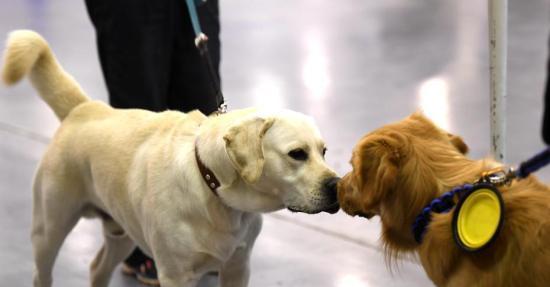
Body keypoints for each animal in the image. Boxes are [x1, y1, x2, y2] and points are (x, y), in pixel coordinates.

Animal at [2, 31, 340, 287]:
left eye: (323, 152)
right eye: (296, 154)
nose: (337, 186)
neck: (212, 186)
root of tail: (85, 109)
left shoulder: (238, 266)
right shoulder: (176, 276)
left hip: (122, 231)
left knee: (97, 268)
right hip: (49, 230)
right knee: (42, 274)